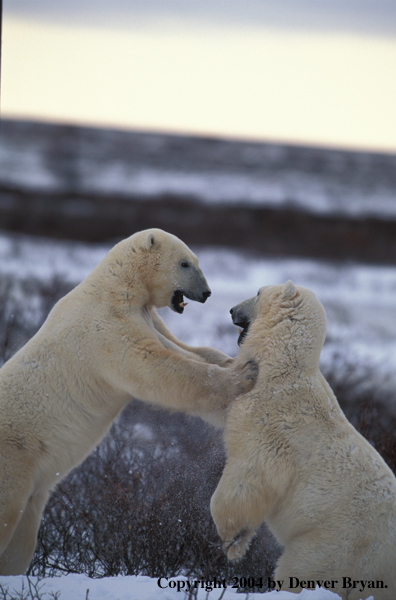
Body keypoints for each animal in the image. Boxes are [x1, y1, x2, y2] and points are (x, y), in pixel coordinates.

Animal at [0, 230, 256, 576]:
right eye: (185, 263)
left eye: (196, 260)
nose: (206, 293)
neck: (116, 286)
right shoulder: (107, 329)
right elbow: (157, 366)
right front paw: (244, 375)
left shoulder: (147, 317)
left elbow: (186, 349)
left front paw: (232, 360)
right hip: (14, 461)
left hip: (33, 491)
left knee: (22, 540)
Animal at [210, 282, 396, 600]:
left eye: (257, 292)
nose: (232, 309)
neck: (282, 367)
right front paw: (241, 541)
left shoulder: (269, 424)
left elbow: (249, 476)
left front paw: (230, 537)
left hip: (339, 543)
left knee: (300, 569)